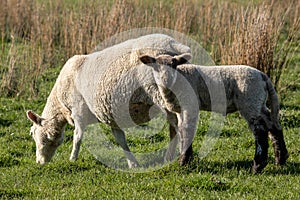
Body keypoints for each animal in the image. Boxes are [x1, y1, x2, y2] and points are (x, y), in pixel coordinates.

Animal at [25, 34, 191, 167]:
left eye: (32, 133)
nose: (39, 162)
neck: (61, 108)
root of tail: (175, 46)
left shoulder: (78, 111)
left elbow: (77, 137)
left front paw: (72, 158)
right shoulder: (110, 116)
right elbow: (121, 139)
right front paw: (133, 164)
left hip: (159, 92)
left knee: (177, 122)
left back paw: (179, 156)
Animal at [139, 53, 290, 173]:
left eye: (174, 65)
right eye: (156, 67)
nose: (167, 80)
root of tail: (263, 76)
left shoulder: (190, 105)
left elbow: (187, 130)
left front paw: (184, 162)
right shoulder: (180, 110)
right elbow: (181, 130)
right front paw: (186, 159)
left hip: (250, 101)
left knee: (260, 132)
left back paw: (257, 166)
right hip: (259, 102)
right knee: (273, 125)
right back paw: (280, 159)